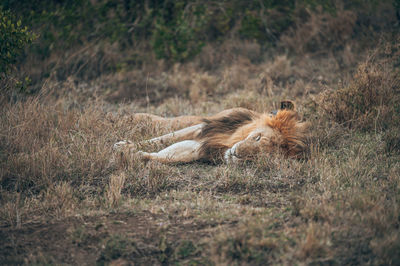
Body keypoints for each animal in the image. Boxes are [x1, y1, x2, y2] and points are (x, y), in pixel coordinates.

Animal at [113, 100, 310, 164]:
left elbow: (167, 156)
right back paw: (125, 118)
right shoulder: (206, 129)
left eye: (258, 157)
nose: (236, 154)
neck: (228, 143)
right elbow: (163, 139)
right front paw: (124, 146)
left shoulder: (201, 149)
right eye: (257, 137)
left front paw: (133, 155)